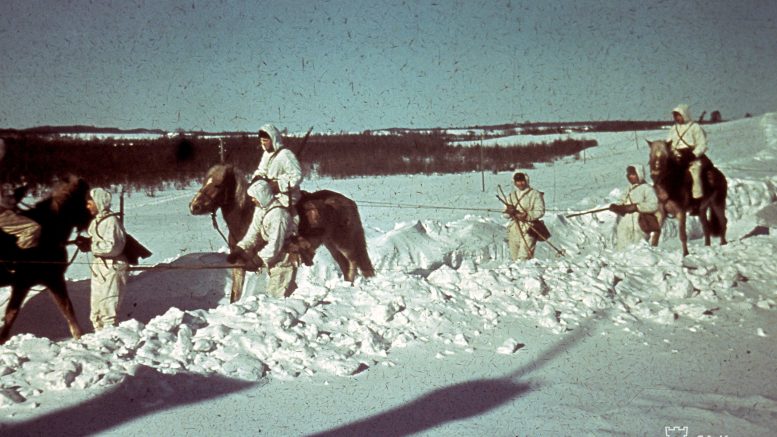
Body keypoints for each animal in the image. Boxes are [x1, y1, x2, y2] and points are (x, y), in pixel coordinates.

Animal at [0, 175, 92, 342]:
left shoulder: (25, 283)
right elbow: (67, 307)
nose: (93, 218)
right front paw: (78, 335)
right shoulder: (51, 278)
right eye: (86, 200)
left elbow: (11, 312)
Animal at [186, 163, 372, 300]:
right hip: (331, 244)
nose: (194, 206)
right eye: (204, 182)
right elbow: (235, 296)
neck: (246, 218)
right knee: (345, 265)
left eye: (217, 185)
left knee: (353, 263)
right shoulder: (239, 267)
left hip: (344, 243)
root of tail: (347, 201)